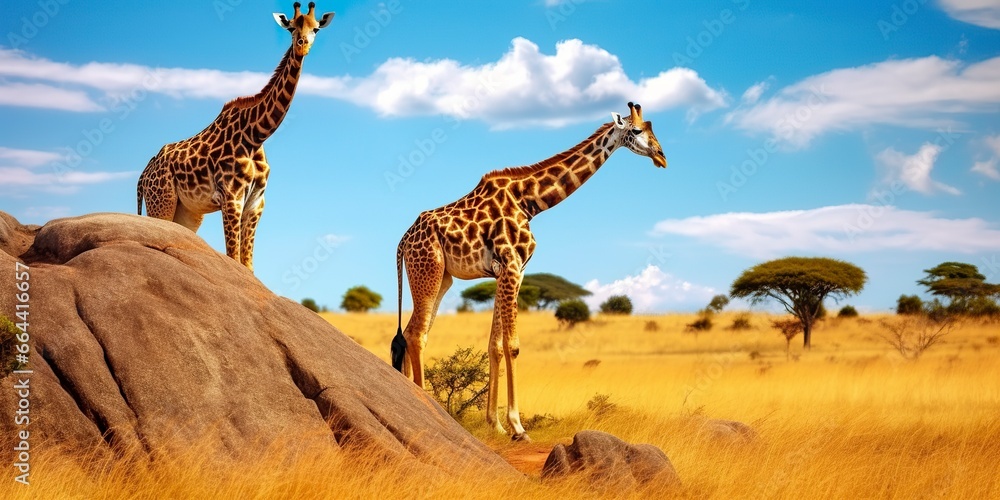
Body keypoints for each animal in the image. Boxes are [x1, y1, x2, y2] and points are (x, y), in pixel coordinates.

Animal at [136, 2, 334, 270]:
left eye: (316, 29)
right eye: (291, 27)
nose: (302, 45)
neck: (256, 135)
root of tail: (143, 175)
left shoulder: (256, 203)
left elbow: (247, 265)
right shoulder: (231, 199)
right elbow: (234, 258)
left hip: (187, 211)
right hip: (161, 200)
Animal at [391, 102, 667, 441]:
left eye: (653, 128)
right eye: (637, 130)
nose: (662, 156)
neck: (529, 202)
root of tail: (403, 240)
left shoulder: (509, 271)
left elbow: (495, 346)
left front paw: (495, 425)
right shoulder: (510, 266)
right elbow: (513, 346)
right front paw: (518, 427)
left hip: (442, 277)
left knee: (413, 332)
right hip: (428, 269)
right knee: (416, 333)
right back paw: (426, 404)